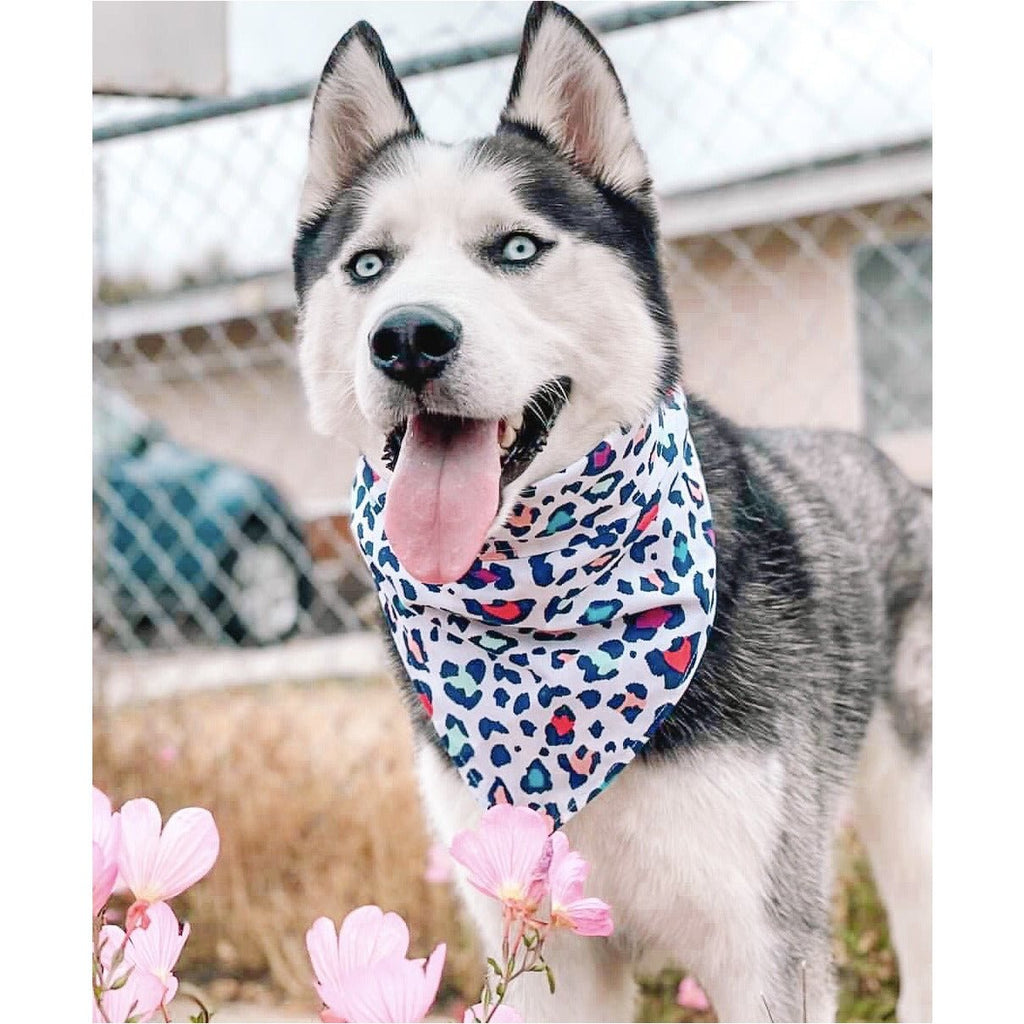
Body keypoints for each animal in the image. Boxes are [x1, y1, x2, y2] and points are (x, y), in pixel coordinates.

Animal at [292, 4, 933, 1019]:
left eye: (516, 249)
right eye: (368, 265)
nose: (408, 337)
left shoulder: (762, 948)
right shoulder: (539, 937)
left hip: (913, 811)